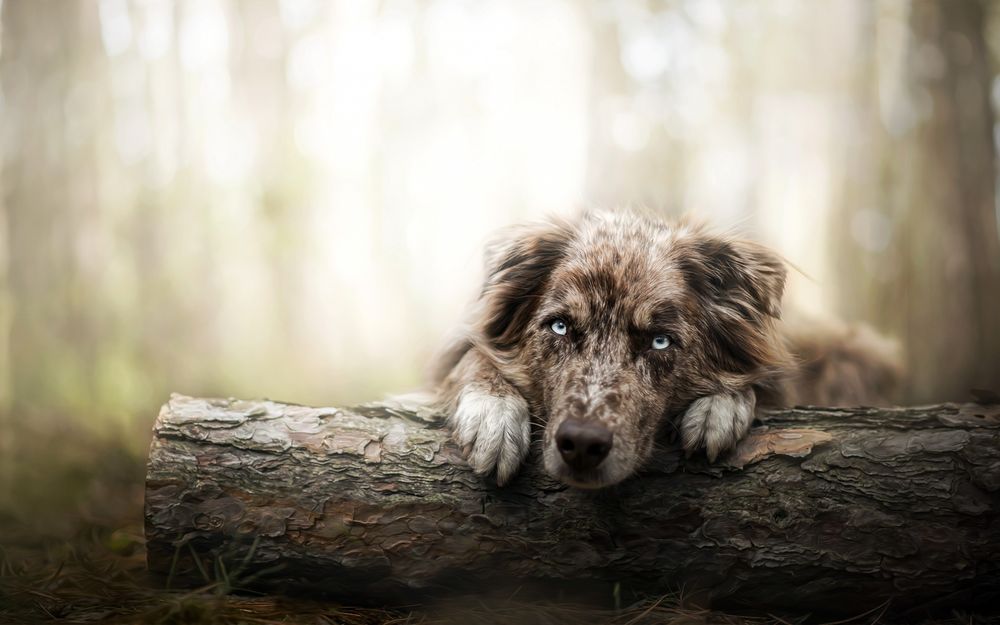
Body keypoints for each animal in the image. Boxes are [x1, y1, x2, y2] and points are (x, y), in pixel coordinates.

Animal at [430, 210, 900, 488]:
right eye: (560, 327)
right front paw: (492, 413)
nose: (580, 445)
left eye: (660, 340)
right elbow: (473, 356)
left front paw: (719, 407)